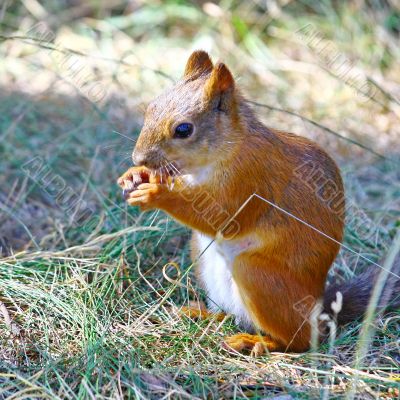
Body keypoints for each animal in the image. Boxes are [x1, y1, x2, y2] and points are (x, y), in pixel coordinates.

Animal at [118, 50, 400, 354]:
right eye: (150, 108)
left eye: (183, 129)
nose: (139, 158)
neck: (225, 149)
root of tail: (318, 308)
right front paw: (135, 175)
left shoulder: (250, 177)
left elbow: (222, 216)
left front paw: (156, 193)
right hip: (203, 260)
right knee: (231, 314)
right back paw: (202, 313)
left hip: (258, 276)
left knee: (301, 340)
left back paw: (258, 341)